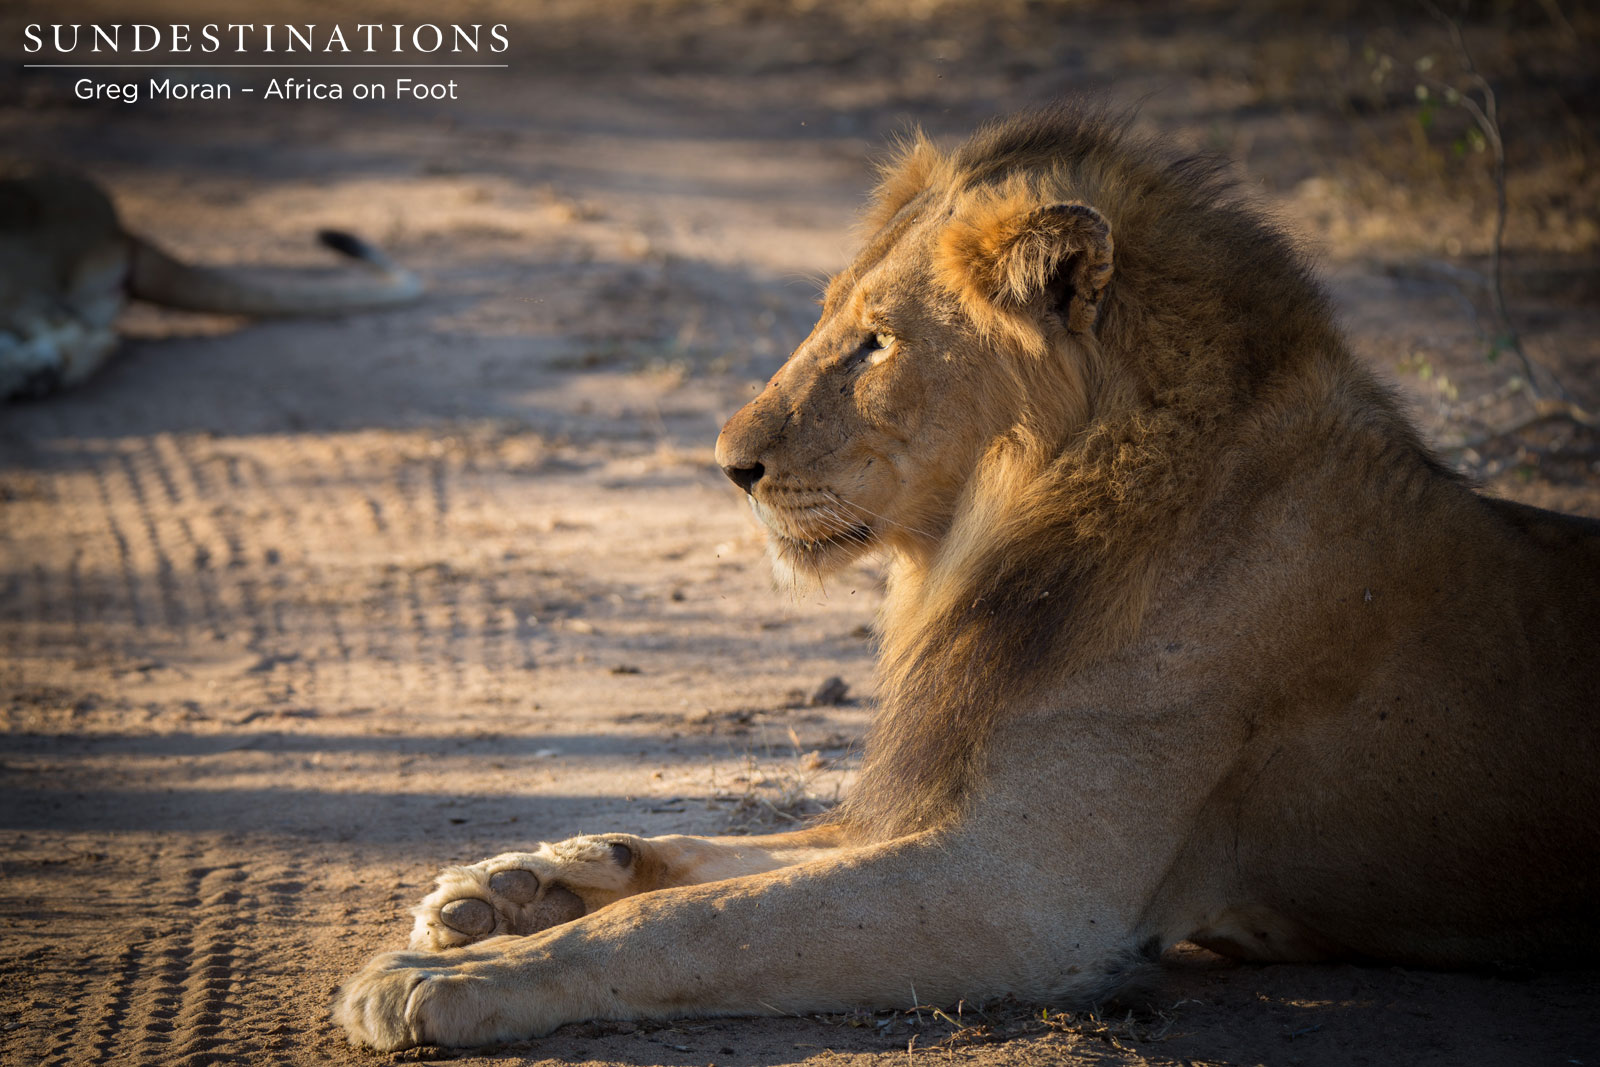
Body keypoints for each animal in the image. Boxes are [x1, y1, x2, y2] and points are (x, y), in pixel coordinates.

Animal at [334, 103, 1600, 1055]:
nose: (728, 464)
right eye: (826, 316)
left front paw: (449, 976)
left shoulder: (1025, 893)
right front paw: (512, 885)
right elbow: (712, 857)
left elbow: (701, 922)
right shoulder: (930, 805)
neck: (995, 541)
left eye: (876, 341)